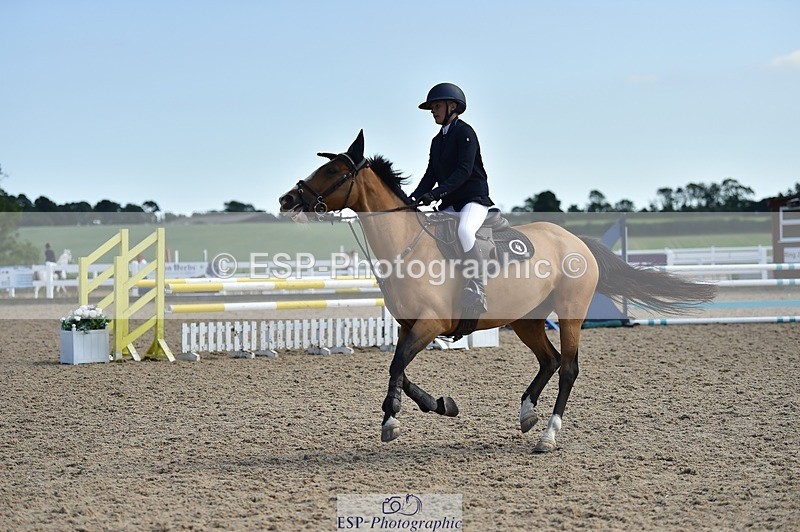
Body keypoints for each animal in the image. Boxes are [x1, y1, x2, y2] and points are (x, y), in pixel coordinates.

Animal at [279, 130, 716, 452]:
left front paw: (391, 420)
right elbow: (400, 368)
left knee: (568, 368)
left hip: (570, 314)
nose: (288, 198)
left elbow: (397, 366)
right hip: (526, 320)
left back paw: (548, 435)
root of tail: (575, 241)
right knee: (549, 360)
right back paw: (526, 414)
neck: (408, 247)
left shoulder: (430, 324)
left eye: (332, 169)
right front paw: (440, 405)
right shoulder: (408, 326)